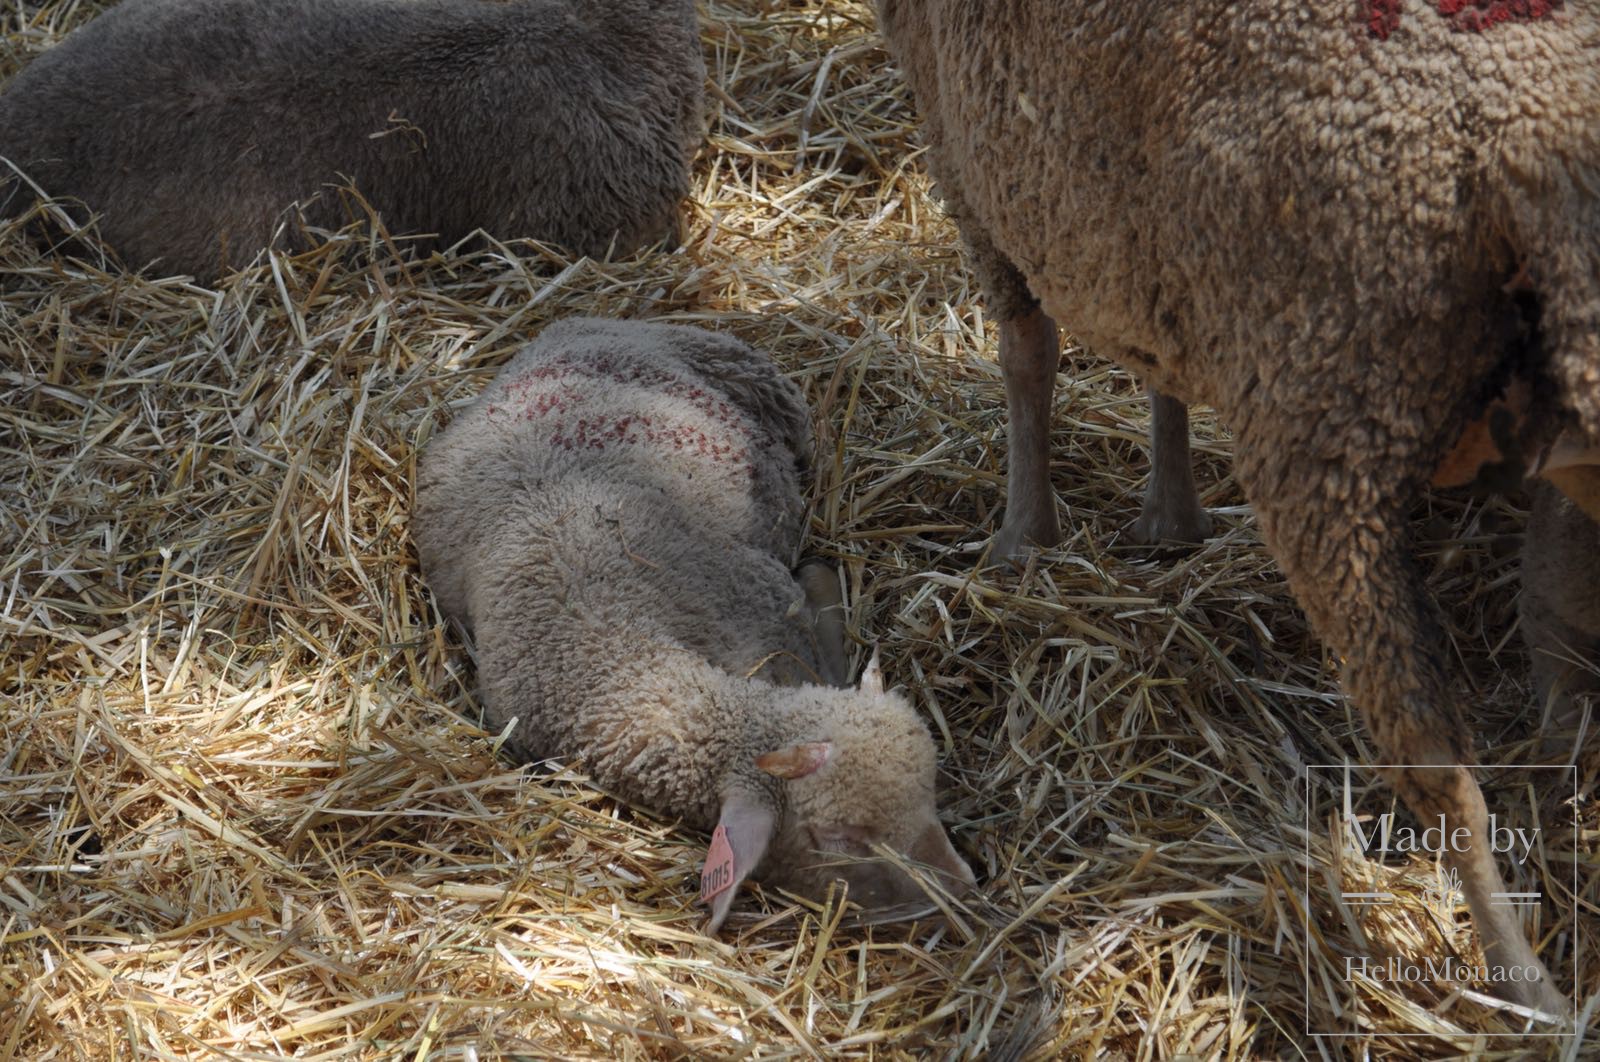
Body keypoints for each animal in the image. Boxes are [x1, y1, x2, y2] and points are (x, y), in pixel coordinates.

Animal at [412, 316, 972, 927]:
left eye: (931, 788)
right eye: (838, 839)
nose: (965, 889)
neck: (612, 649)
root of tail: (582, 322)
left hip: (769, 392)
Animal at [876, 0, 1600, 1010]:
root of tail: (1537, 164)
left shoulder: (968, 157)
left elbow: (1028, 351)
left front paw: (1024, 541)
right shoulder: (1136, 233)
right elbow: (1154, 362)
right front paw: (1167, 518)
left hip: (1325, 431)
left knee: (1435, 759)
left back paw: (1524, 987)